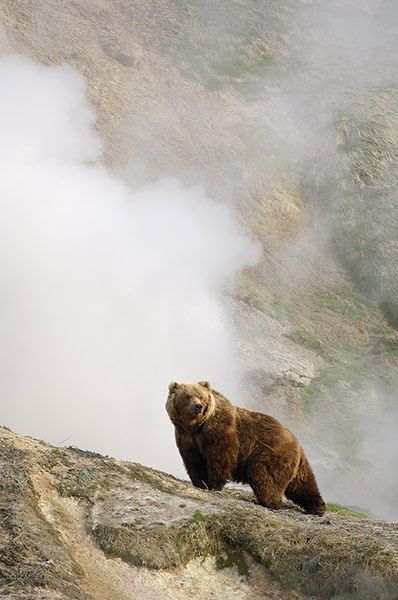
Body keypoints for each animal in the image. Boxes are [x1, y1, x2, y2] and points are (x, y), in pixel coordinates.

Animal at [166, 380, 324, 516]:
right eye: (187, 396)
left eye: (201, 396)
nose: (198, 406)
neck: (196, 426)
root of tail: (297, 442)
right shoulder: (186, 437)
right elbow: (193, 461)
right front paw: (200, 482)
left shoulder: (219, 429)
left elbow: (221, 455)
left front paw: (213, 484)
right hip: (296, 465)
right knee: (302, 484)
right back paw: (317, 507)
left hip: (271, 452)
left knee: (265, 476)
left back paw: (267, 501)